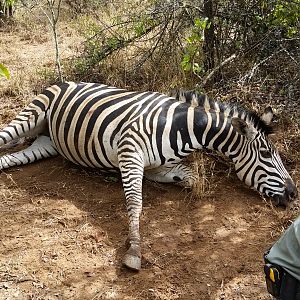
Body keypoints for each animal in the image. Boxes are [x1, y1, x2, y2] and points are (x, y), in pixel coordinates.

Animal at [0, 82, 298, 272]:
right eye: (266, 154)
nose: (294, 193)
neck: (185, 128)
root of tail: (65, 80)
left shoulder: (160, 166)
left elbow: (193, 179)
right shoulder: (129, 151)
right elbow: (135, 202)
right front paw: (134, 251)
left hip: (46, 143)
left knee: (7, 158)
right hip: (33, 114)